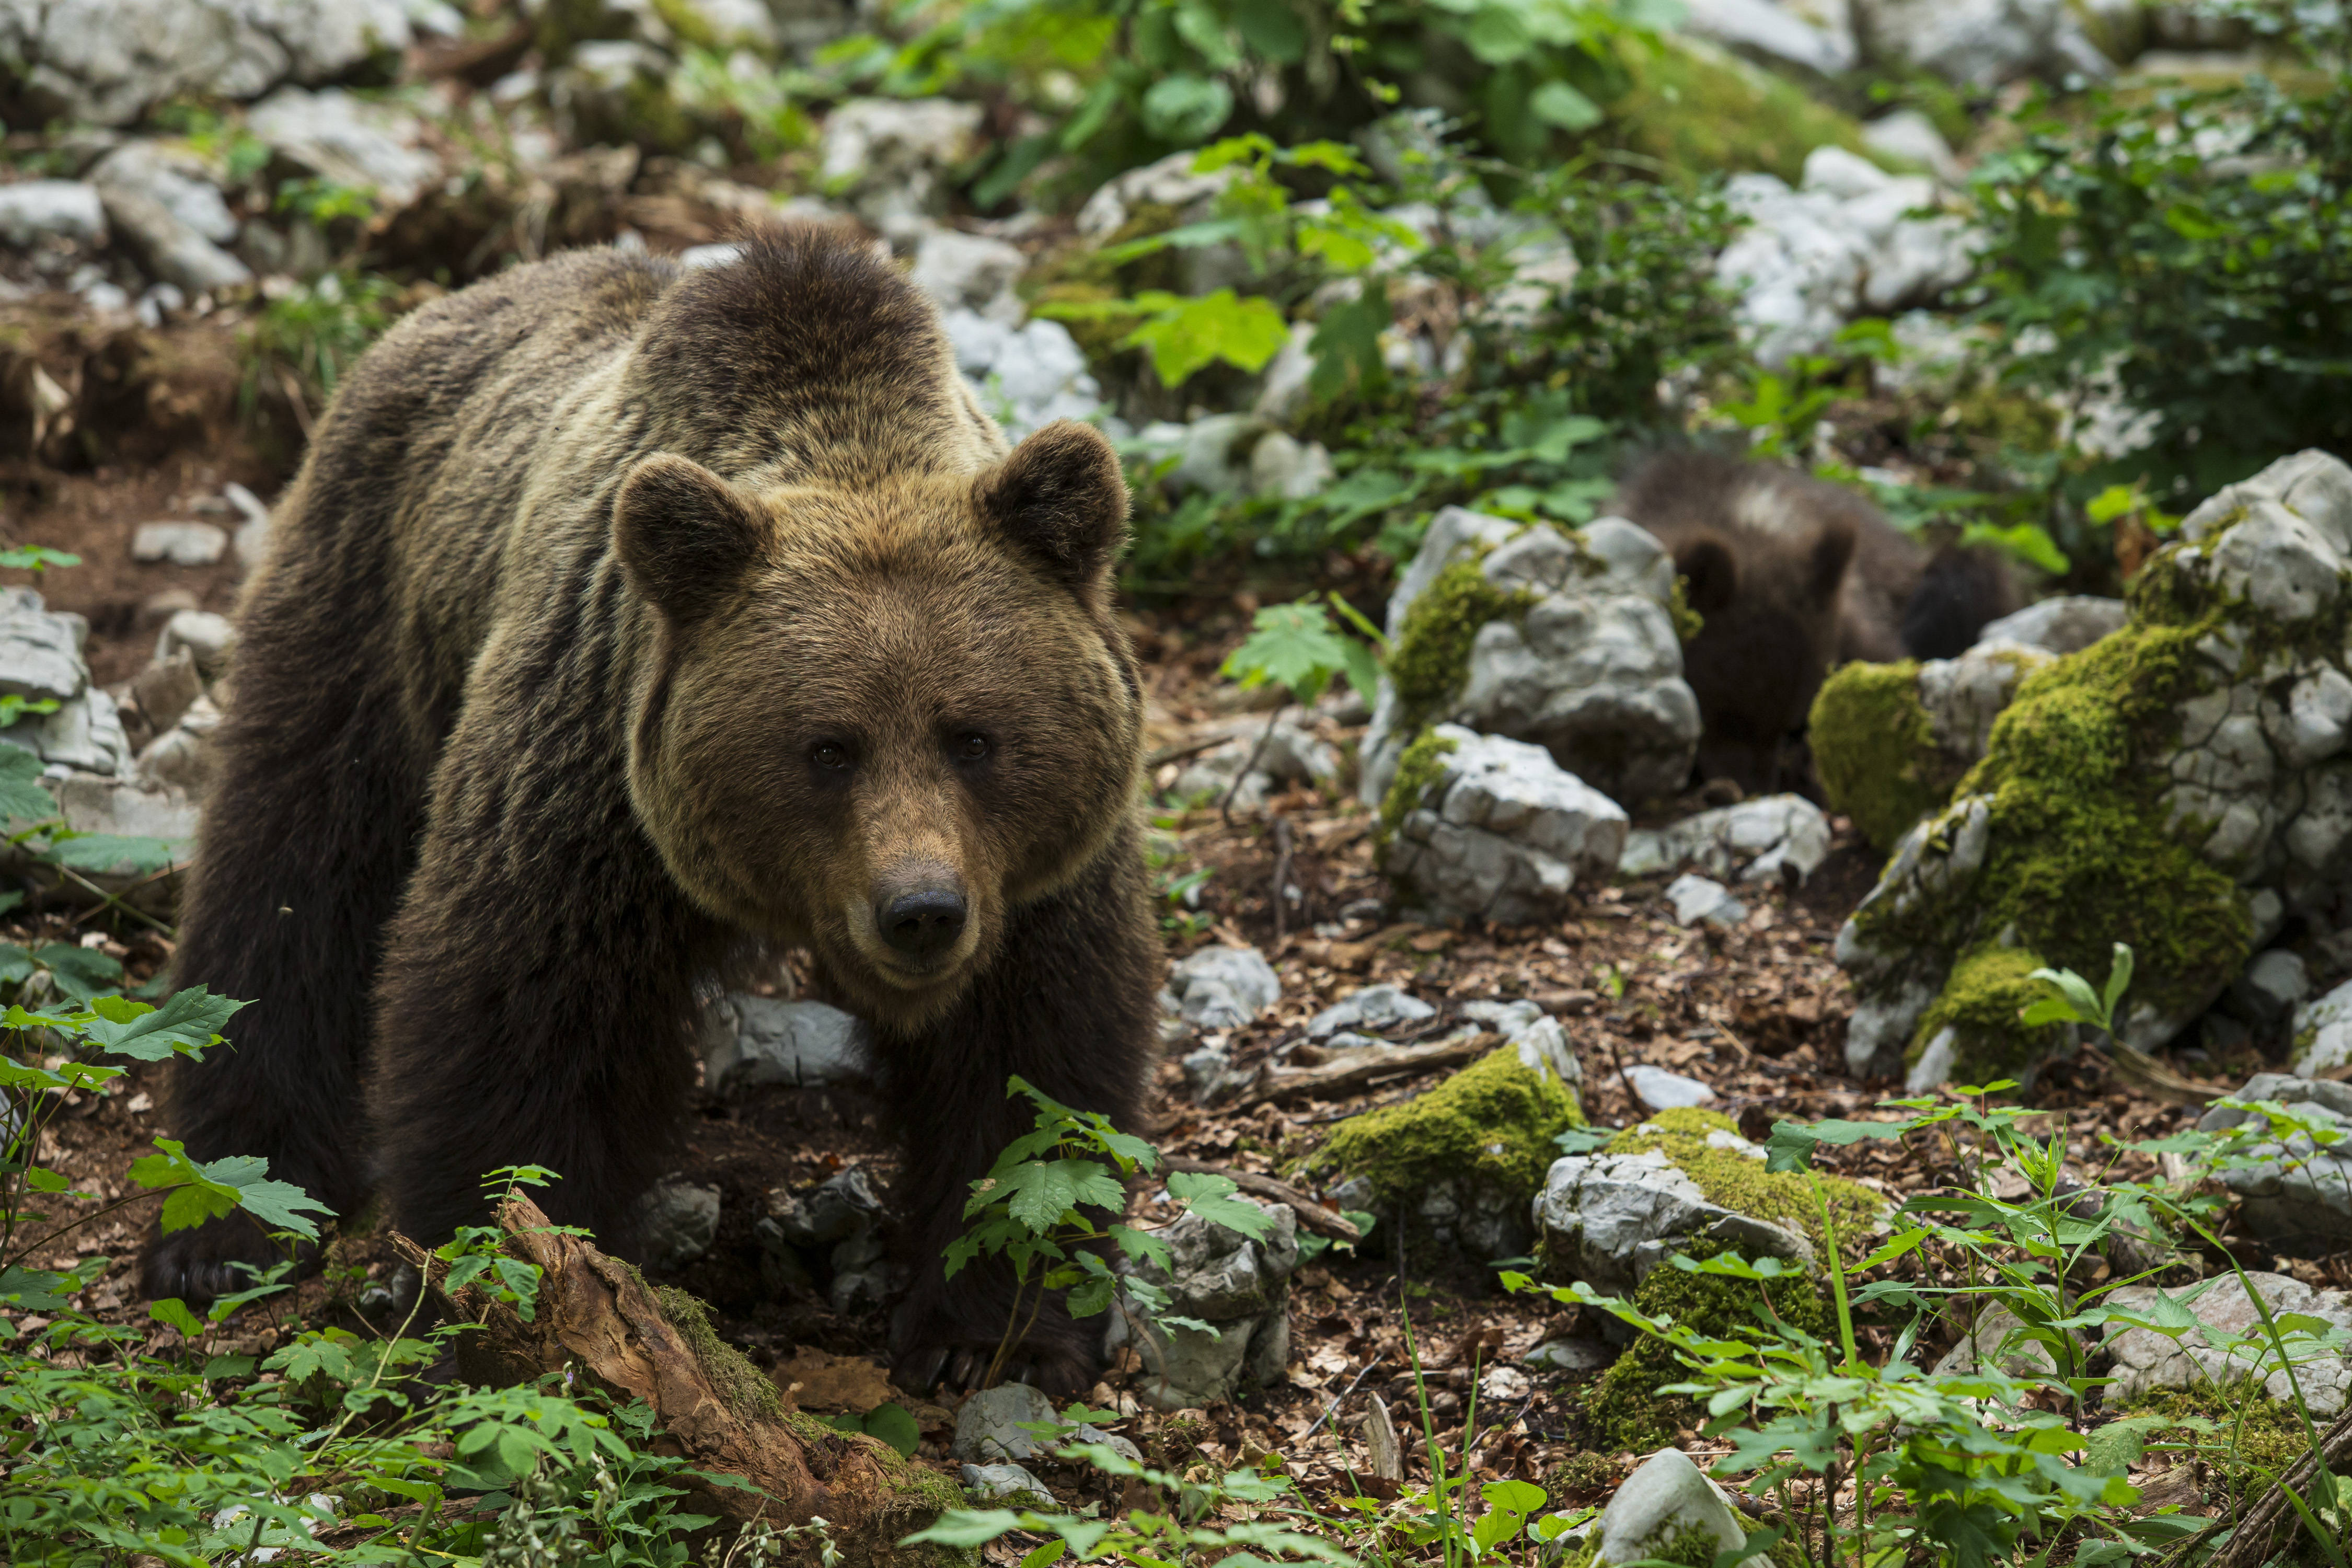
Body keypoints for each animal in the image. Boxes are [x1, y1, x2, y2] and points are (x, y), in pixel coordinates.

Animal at [137, 223, 1157, 1401]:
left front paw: (990, 1334)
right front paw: (516, 1307)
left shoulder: (1036, 875)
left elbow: (1033, 1083)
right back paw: (230, 1213)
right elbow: (516, 1022)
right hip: (372, 597)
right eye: (829, 747)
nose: (921, 912)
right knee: (292, 872)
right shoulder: (589, 777)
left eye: (975, 736)